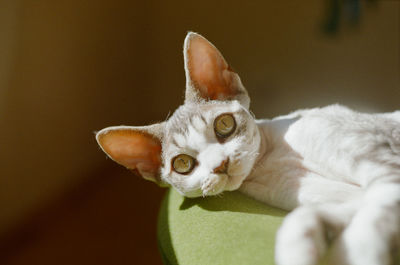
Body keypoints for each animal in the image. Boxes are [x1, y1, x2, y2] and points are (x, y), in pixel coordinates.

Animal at [97, 32, 400, 262]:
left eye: (224, 124)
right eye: (183, 164)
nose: (220, 164)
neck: (273, 163)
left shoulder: (387, 171)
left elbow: (370, 222)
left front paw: (360, 254)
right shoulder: (343, 201)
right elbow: (304, 218)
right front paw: (300, 250)